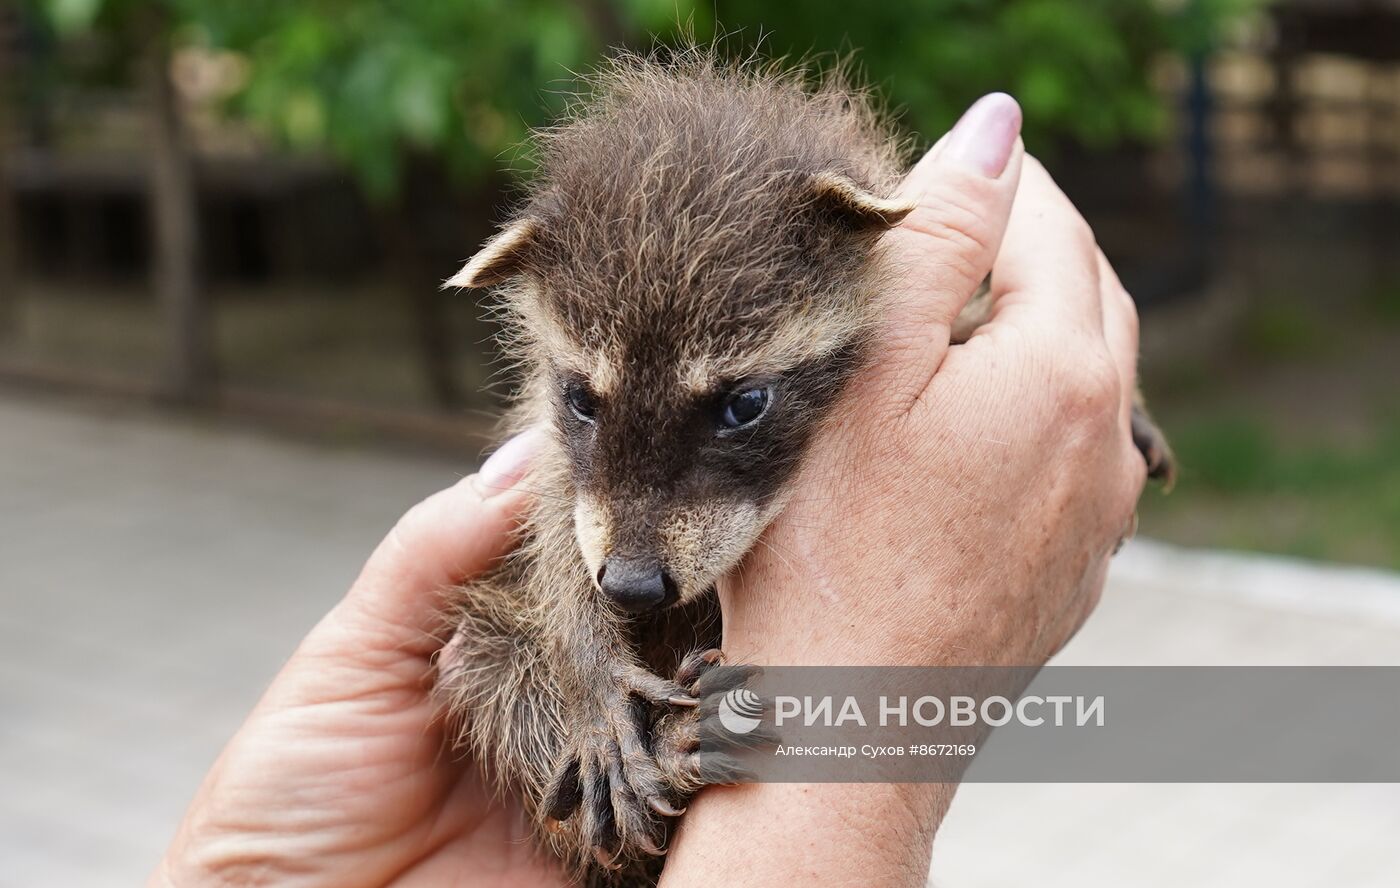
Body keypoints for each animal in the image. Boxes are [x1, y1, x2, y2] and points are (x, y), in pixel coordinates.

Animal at [442, 51, 1176, 879]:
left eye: (744, 404)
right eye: (580, 398)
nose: (630, 586)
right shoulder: (551, 447)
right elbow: (554, 529)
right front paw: (588, 663)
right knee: (490, 661)